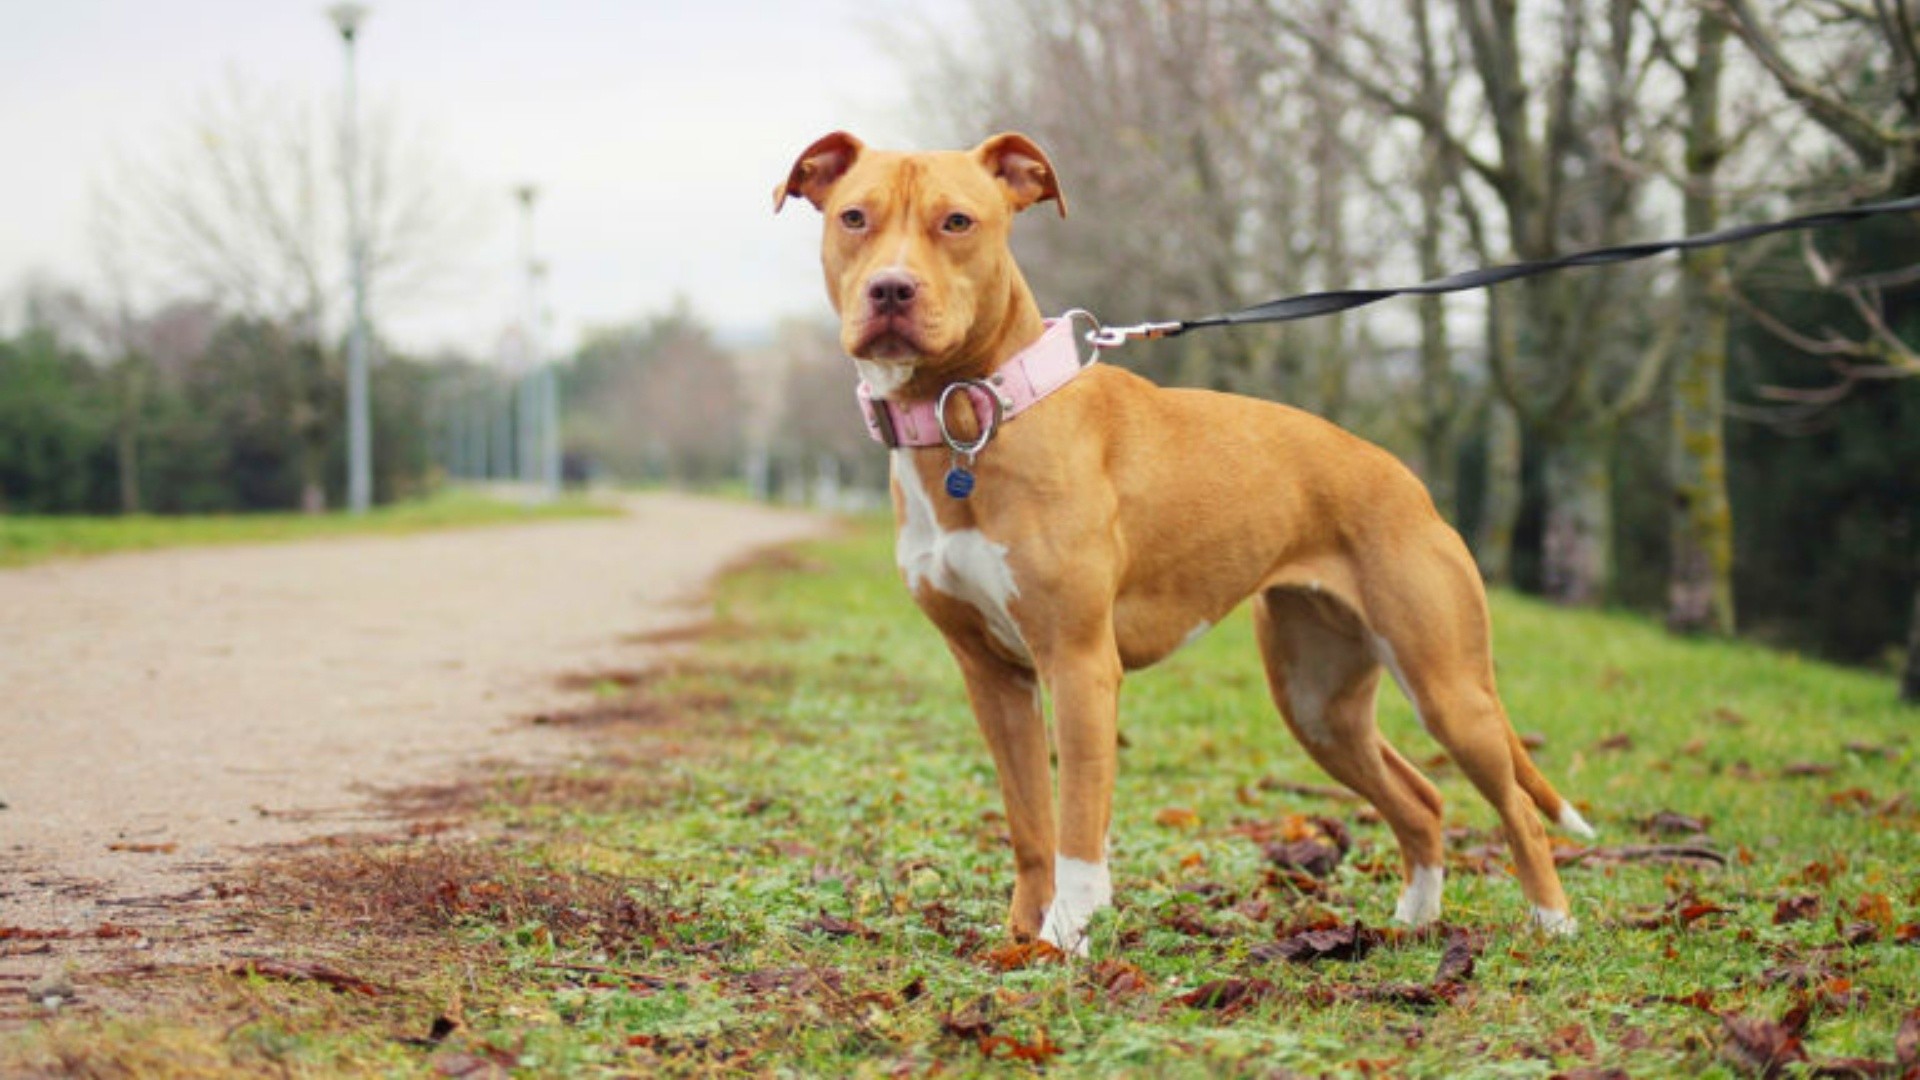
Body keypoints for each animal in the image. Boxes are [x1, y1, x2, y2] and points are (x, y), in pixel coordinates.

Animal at [771, 132, 1597, 949]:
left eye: (957, 222)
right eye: (854, 217)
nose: (891, 290)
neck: (972, 410)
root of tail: (1408, 480)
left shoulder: (1079, 664)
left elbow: (1077, 825)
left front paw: (1066, 937)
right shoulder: (991, 675)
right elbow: (1030, 823)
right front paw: (1020, 939)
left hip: (1447, 688)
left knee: (1517, 809)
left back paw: (1552, 922)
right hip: (1318, 702)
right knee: (1421, 799)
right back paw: (1414, 922)